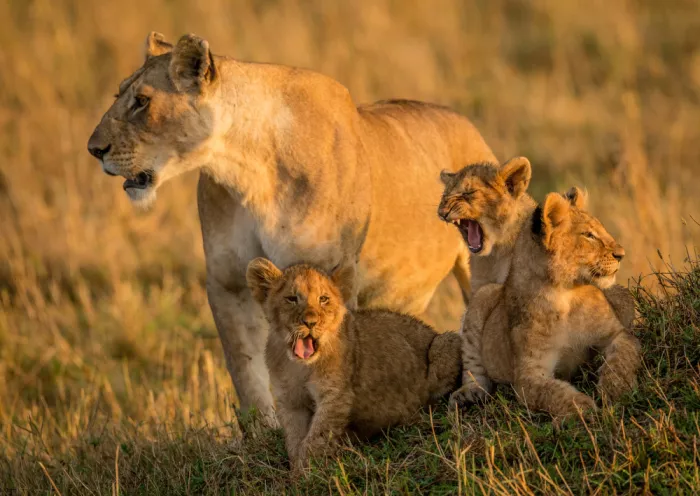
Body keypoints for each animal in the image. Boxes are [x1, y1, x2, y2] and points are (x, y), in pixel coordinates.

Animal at [87, 32, 497, 418]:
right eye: (119, 94)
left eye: (142, 101)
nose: (94, 149)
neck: (248, 171)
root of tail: (468, 125)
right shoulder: (227, 281)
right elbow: (246, 370)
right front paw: (261, 432)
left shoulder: (330, 276)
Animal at [246, 258, 462, 470]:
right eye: (291, 299)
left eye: (323, 299)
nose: (310, 322)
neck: (301, 366)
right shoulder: (290, 401)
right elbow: (295, 440)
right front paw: (297, 470)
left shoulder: (335, 396)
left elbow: (315, 439)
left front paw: (306, 472)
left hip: (445, 343)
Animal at [448, 187, 641, 417]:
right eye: (589, 235)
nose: (621, 254)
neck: (566, 295)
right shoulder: (528, 376)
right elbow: (553, 392)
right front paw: (584, 409)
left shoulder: (617, 334)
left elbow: (622, 358)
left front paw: (614, 391)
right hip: (482, 295)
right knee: (473, 369)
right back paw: (467, 395)